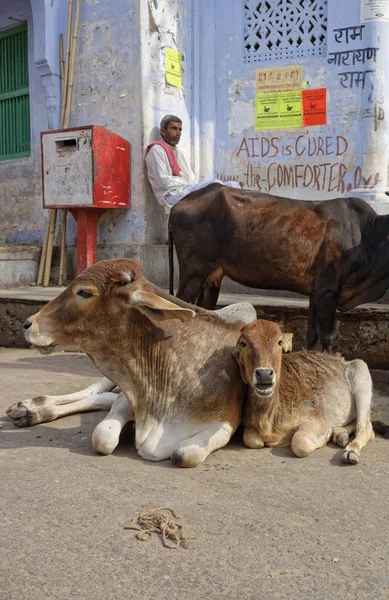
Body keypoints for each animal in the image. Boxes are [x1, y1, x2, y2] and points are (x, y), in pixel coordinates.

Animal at [6, 258, 255, 468]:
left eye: (84, 292)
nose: (28, 323)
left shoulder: (226, 421)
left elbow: (184, 454)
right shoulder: (131, 394)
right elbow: (102, 436)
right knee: (97, 391)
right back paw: (29, 408)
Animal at [169, 183, 389, 352]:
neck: (368, 235)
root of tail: (181, 202)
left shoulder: (316, 291)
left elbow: (312, 333)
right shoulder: (328, 291)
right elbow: (327, 336)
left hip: (212, 277)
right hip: (193, 272)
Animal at [233, 318, 384, 464]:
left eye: (279, 342)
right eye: (243, 343)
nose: (264, 374)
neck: (268, 415)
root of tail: (341, 359)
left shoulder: (316, 417)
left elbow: (299, 443)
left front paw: (326, 436)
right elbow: (253, 441)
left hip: (361, 372)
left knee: (366, 426)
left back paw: (351, 451)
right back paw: (340, 435)